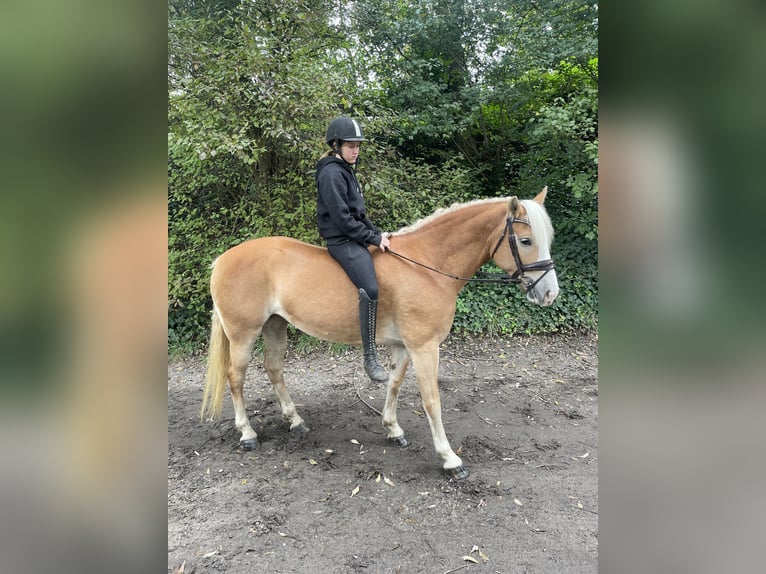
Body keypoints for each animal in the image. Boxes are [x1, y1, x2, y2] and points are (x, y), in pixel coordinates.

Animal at [200, 187, 560, 480]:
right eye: (525, 241)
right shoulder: (425, 347)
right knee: (235, 377)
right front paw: (449, 459)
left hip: (275, 325)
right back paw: (247, 434)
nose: (550, 294)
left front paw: (393, 429)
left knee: (274, 369)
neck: (427, 266)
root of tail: (222, 260)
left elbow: (395, 384)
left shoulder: (404, 346)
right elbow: (432, 400)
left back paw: (295, 421)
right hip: (243, 334)